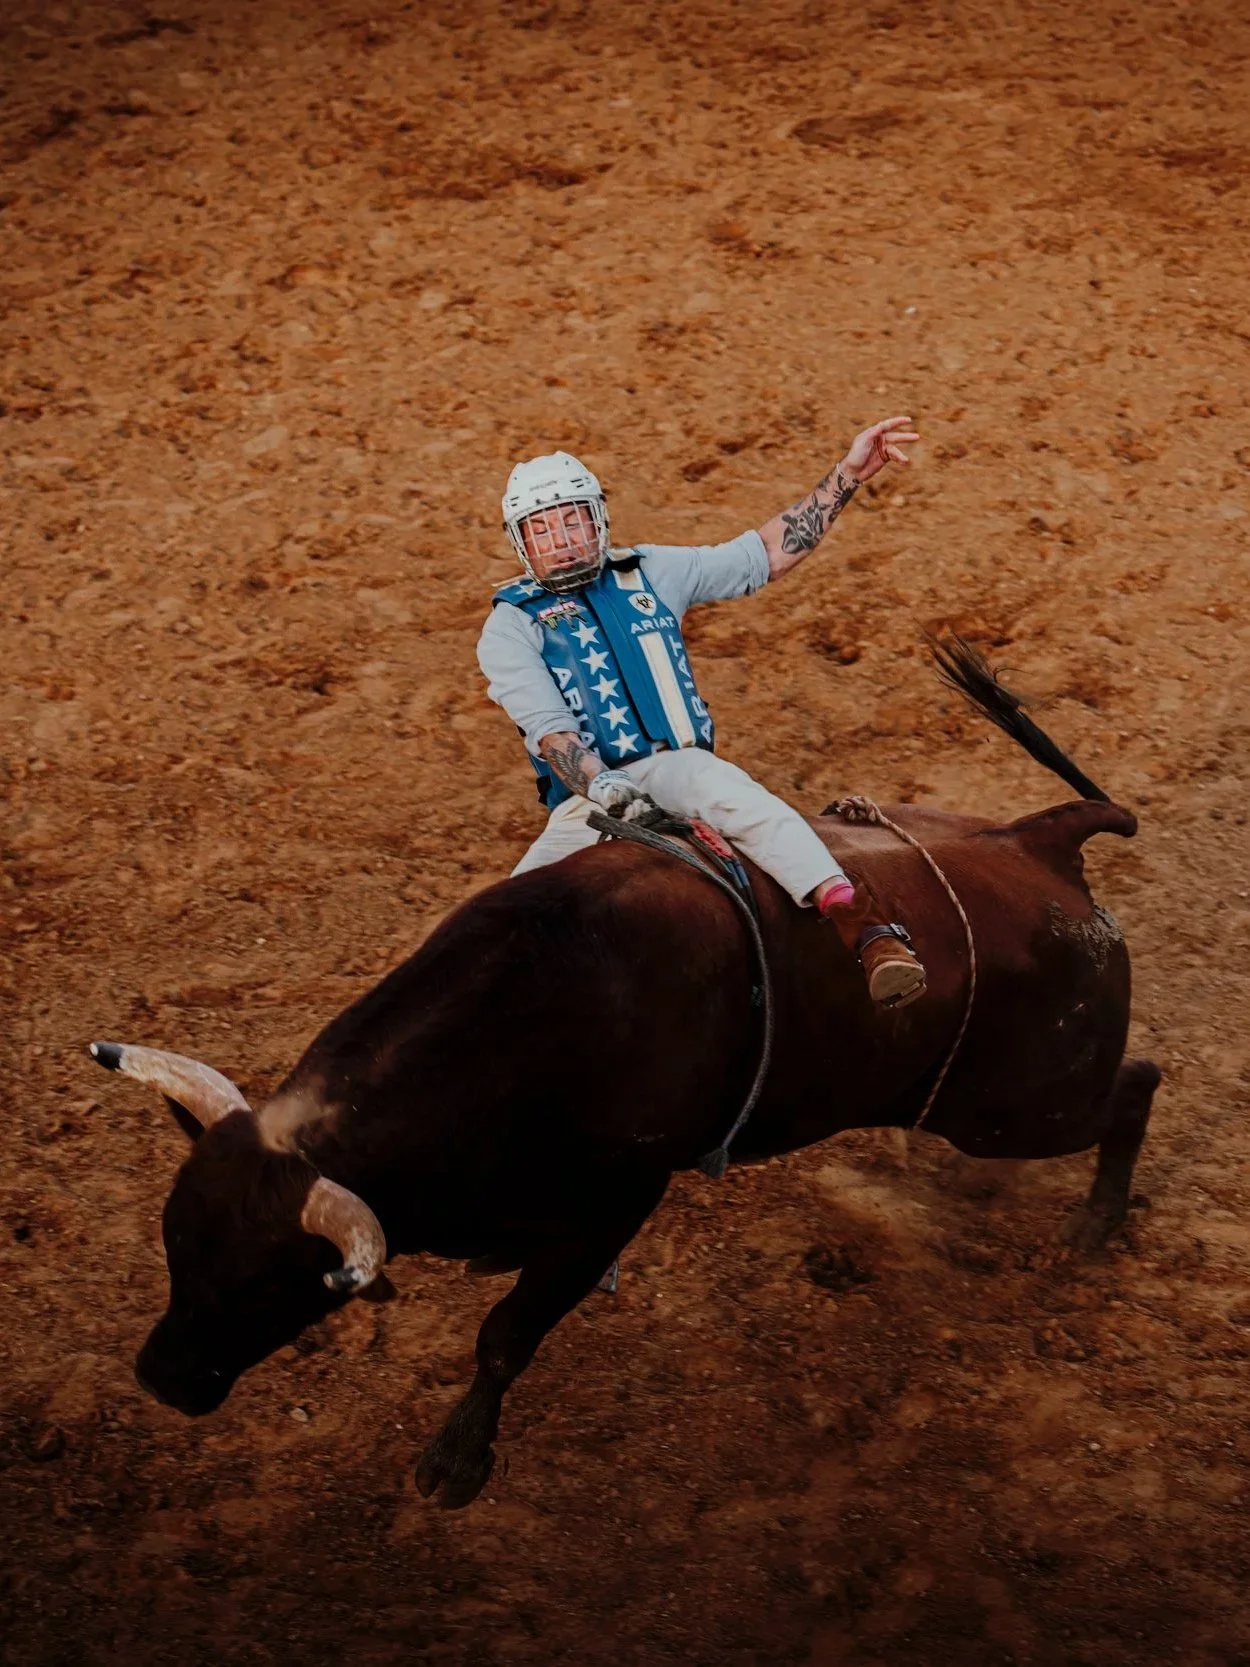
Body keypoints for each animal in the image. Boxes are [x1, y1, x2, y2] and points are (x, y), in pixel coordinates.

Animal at [90, 641, 1161, 1508]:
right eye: (176, 1244)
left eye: (274, 1280)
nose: (162, 1377)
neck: (528, 1024)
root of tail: (1040, 839)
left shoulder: (612, 1206)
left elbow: (505, 1333)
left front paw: (456, 1460)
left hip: (1019, 1105)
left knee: (1136, 1083)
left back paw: (1094, 1224)